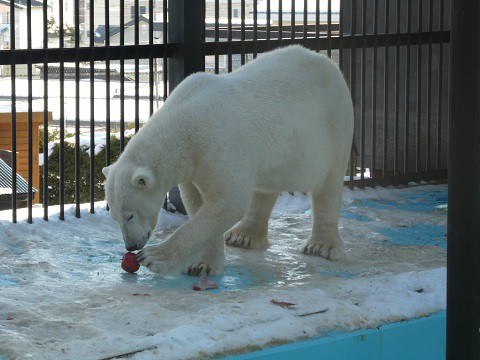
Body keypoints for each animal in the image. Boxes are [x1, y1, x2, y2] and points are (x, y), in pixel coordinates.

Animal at [102, 45, 352, 276]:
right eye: (114, 217)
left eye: (129, 215)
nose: (131, 246)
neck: (185, 128)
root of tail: (326, 62)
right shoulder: (194, 165)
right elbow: (199, 203)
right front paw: (201, 264)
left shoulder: (218, 145)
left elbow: (228, 201)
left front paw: (156, 257)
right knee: (266, 183)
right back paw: (243, 236)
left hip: (333, 129)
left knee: (328, 186)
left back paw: (321, 246)